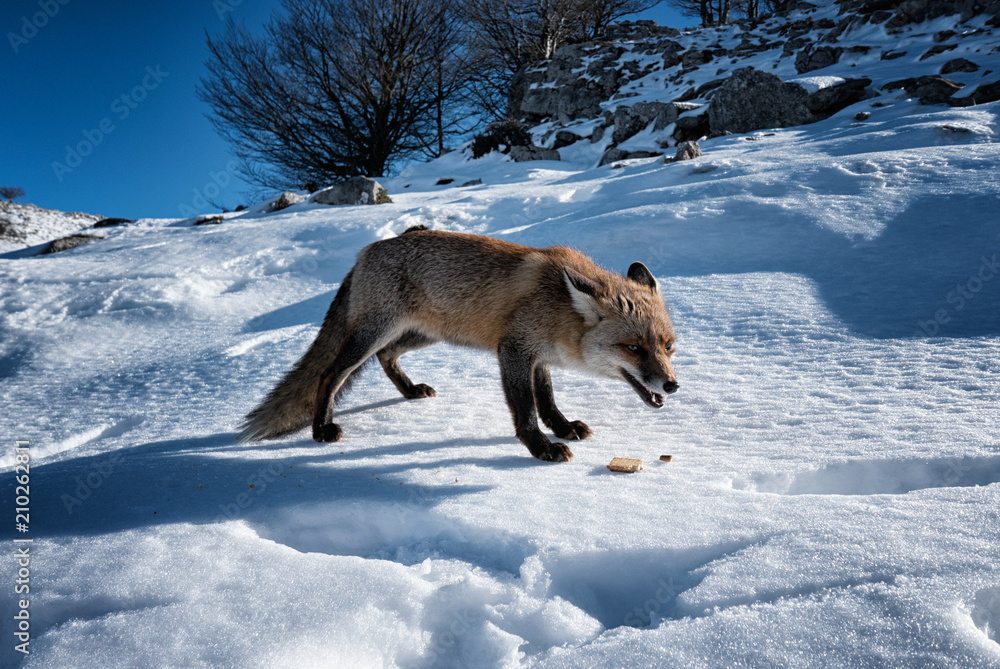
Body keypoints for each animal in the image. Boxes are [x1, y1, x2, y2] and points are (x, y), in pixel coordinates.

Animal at [239, 228, 679, 462]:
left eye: (668, 346)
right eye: (633, 348)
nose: (671, 385)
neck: (558, 306)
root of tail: (364, 253)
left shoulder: (538, 356)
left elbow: (547, 400)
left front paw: (563, 427)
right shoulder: (514, 349)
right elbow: (526, 409)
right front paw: (541, 447)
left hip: (422, 334)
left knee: (386, 356)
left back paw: (410, 392)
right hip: (375, 332)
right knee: (330, 373)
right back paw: (320, 428)